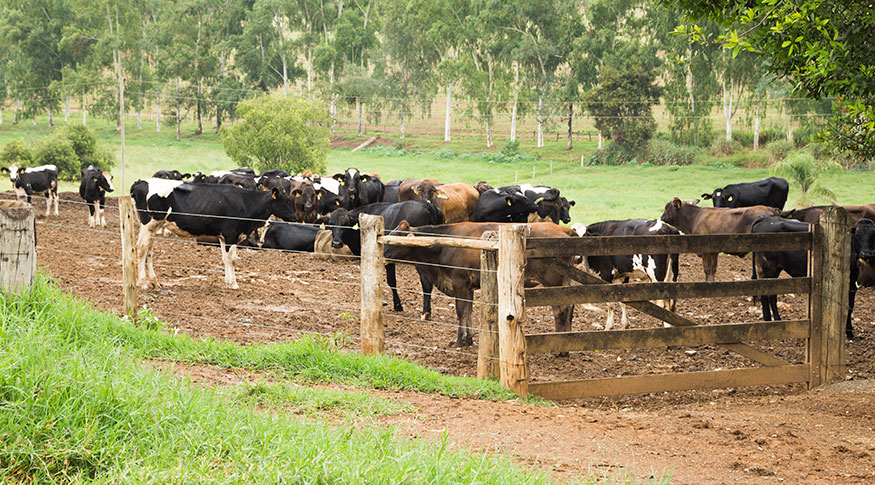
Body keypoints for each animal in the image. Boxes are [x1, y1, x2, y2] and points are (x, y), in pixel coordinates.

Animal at [128, 180, 296, 290]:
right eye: (286, 201)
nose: (295, 218)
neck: (246, 202)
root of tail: (140, 182)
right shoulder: (231, 234)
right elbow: (232, 259)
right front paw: (234, 283)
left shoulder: (223, 236)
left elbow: (225, 259)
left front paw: (227, 281)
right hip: (149, 223)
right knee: (141, 248)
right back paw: (143, 283)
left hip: (153, 226)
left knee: (148, 250)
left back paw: (154, 281)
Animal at [386, 221, 580, 346]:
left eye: (396, 237)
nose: (384, 251)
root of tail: (566, 230)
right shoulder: (468, 287)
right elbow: (468, 312)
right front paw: (468, 339)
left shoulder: (459, 283)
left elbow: (461, 311)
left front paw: (459, 341)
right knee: (569, 308)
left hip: (554, 284)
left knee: (561, 311)